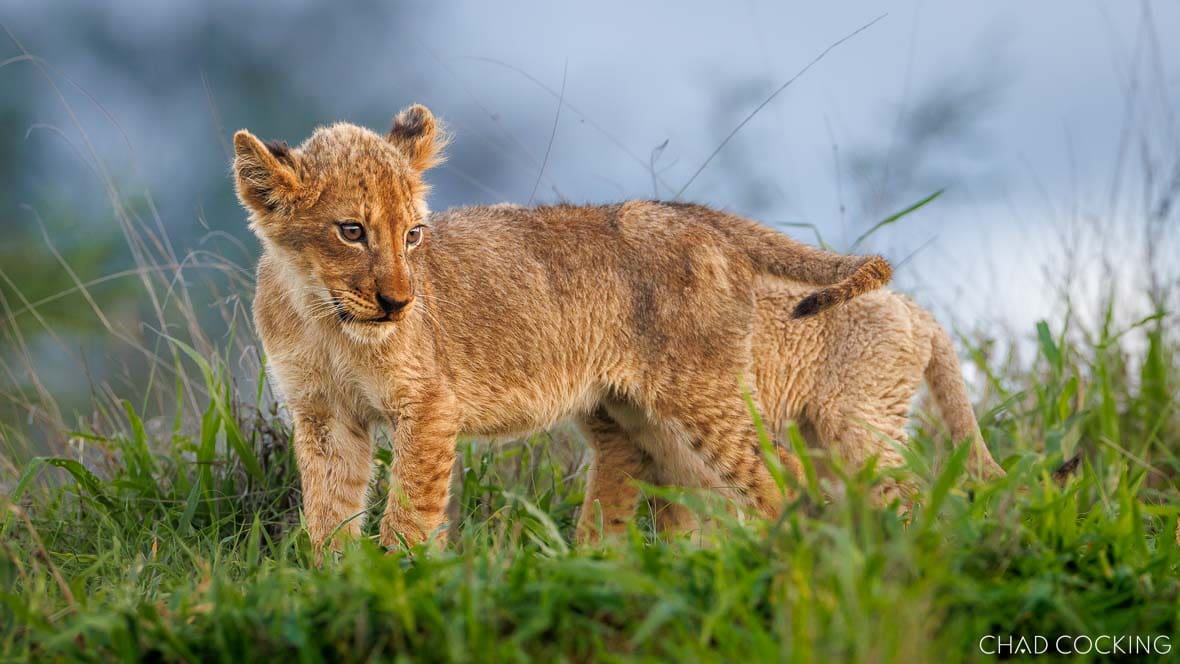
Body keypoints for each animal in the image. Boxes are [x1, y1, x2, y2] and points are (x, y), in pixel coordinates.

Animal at [232, 104, 891, 552]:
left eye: (413, 234)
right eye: (351, 231)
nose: (398, 303)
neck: (324, 317)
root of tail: (697, 215)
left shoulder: (430, 403)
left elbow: (409, 510)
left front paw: (401, 582)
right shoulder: (323, 416)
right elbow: (329, 510)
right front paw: (333, 581)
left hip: (702, 392)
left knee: (785, 472)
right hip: (640, 414)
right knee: (680, 483)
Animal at [576, 276, 1008, 540]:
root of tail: (912, 306)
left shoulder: (621, 441)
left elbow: (601, 513)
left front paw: (592, 562)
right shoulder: (654, 443)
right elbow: (675, 514)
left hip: (856, 425)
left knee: (912, 492)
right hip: (822, 440)